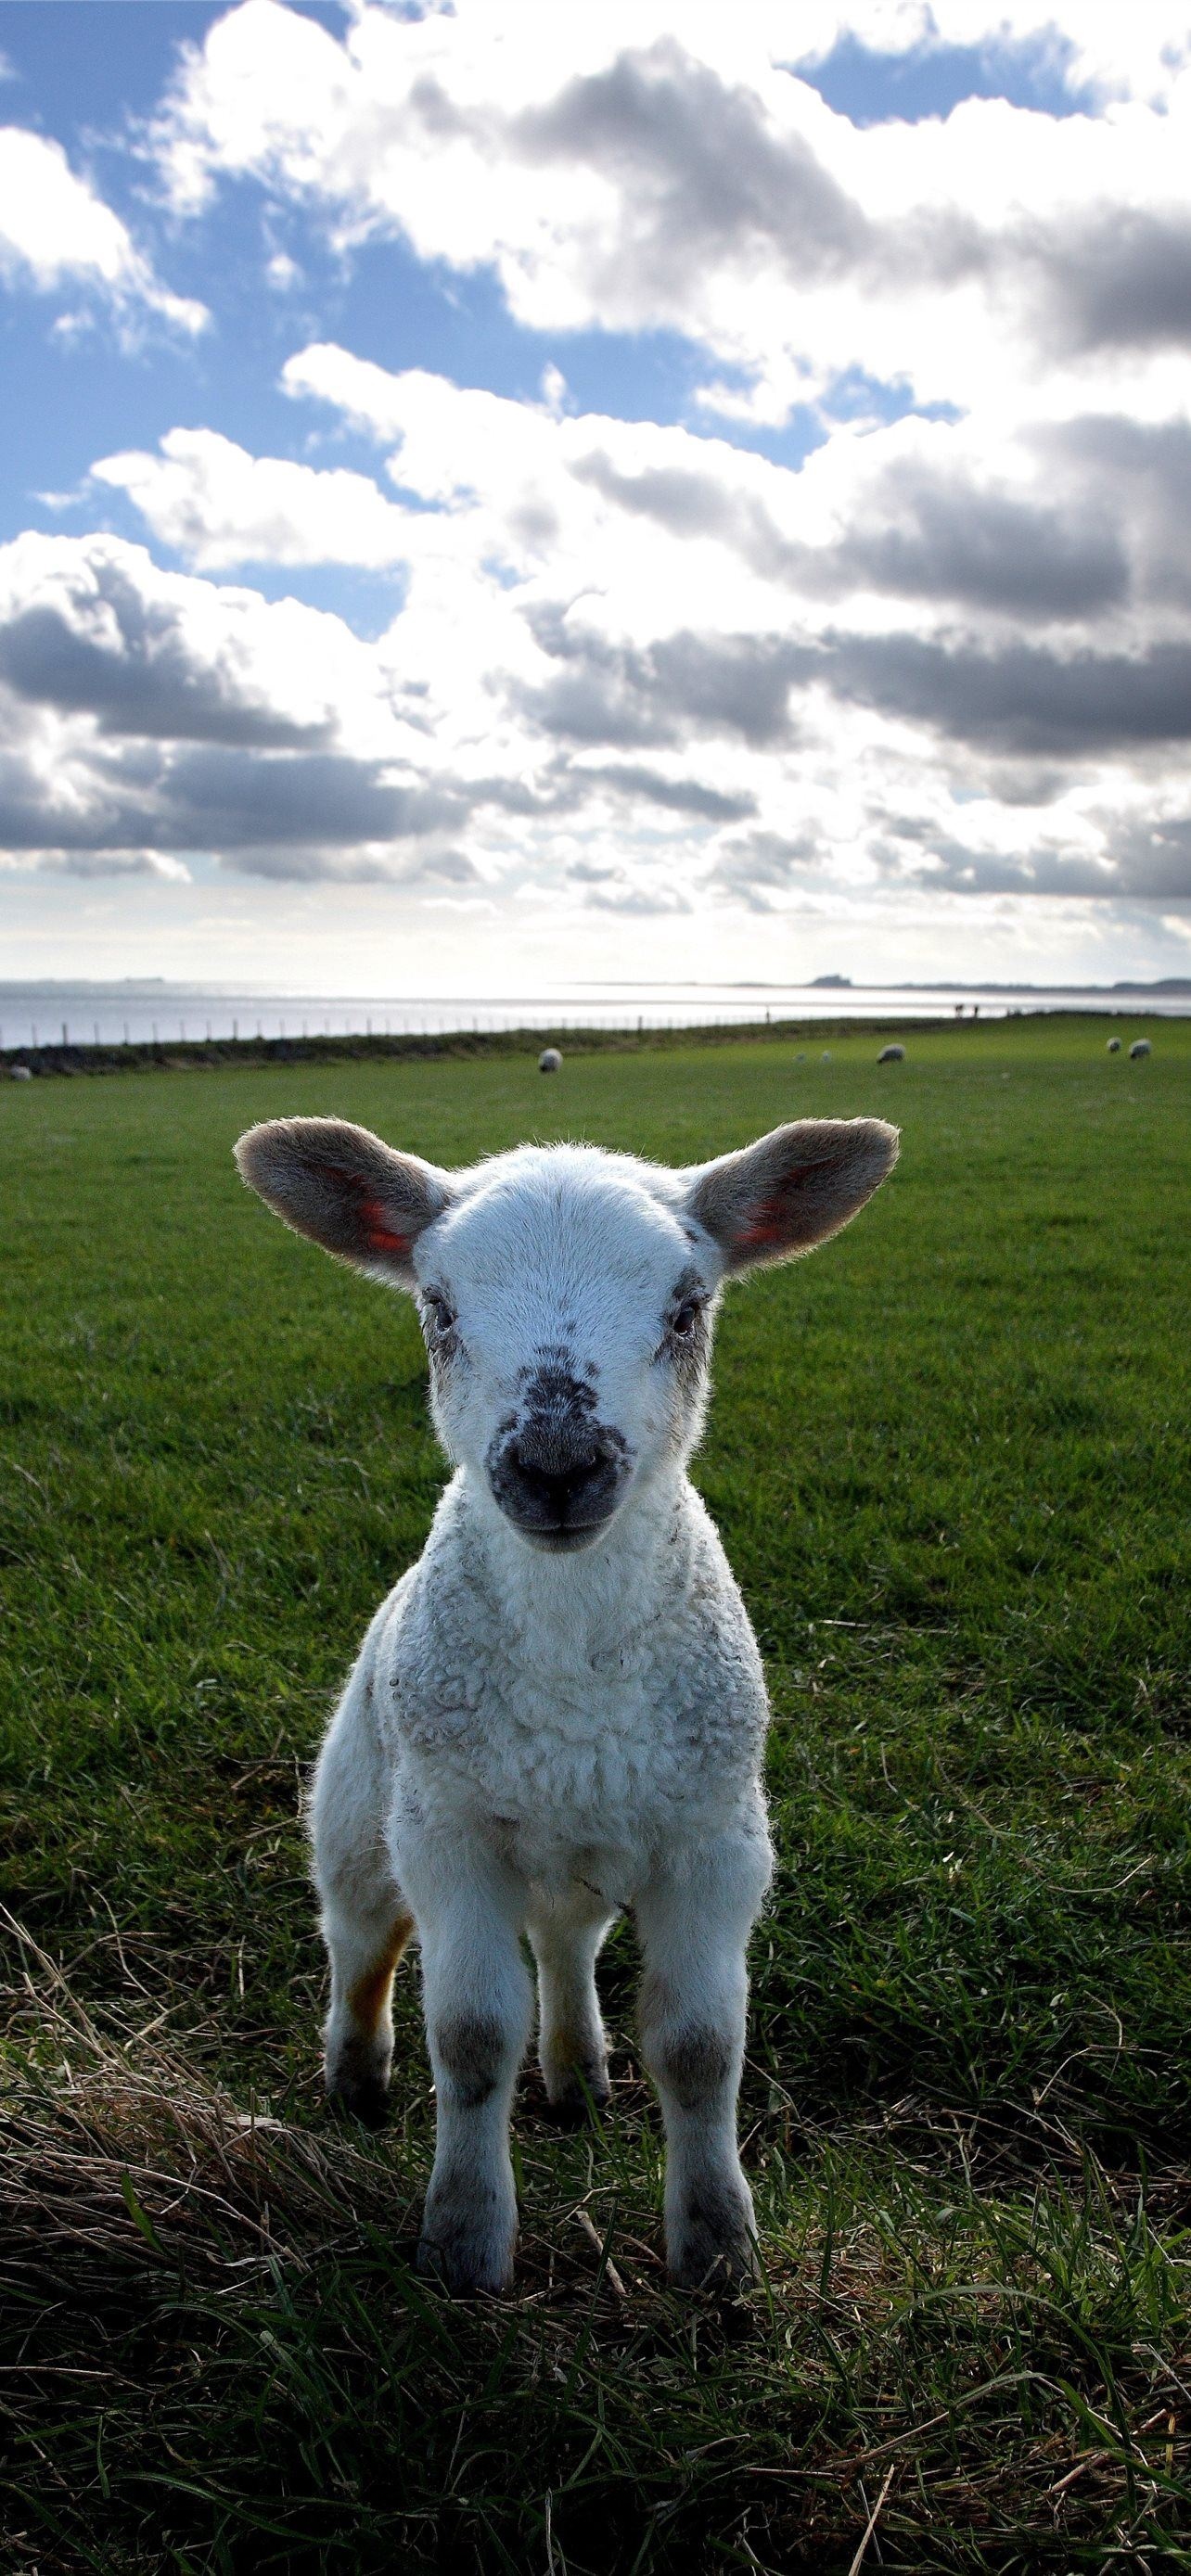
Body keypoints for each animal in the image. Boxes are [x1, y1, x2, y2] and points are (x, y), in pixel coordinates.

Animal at [235, 1112, 899, 2293]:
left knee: (567, 1944)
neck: (577, 1686)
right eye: (438, 1309)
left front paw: (716, 2247)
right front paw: (464, 2242)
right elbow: (468, 2038)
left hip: (574, 1849)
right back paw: (354, 2081)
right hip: (359, 1808)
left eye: (688, 1310)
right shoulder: (449, 1837)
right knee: (359, 1940)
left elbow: (700, 2048)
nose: (555, 1464)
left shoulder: (717, 1841)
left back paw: (577, 2070)